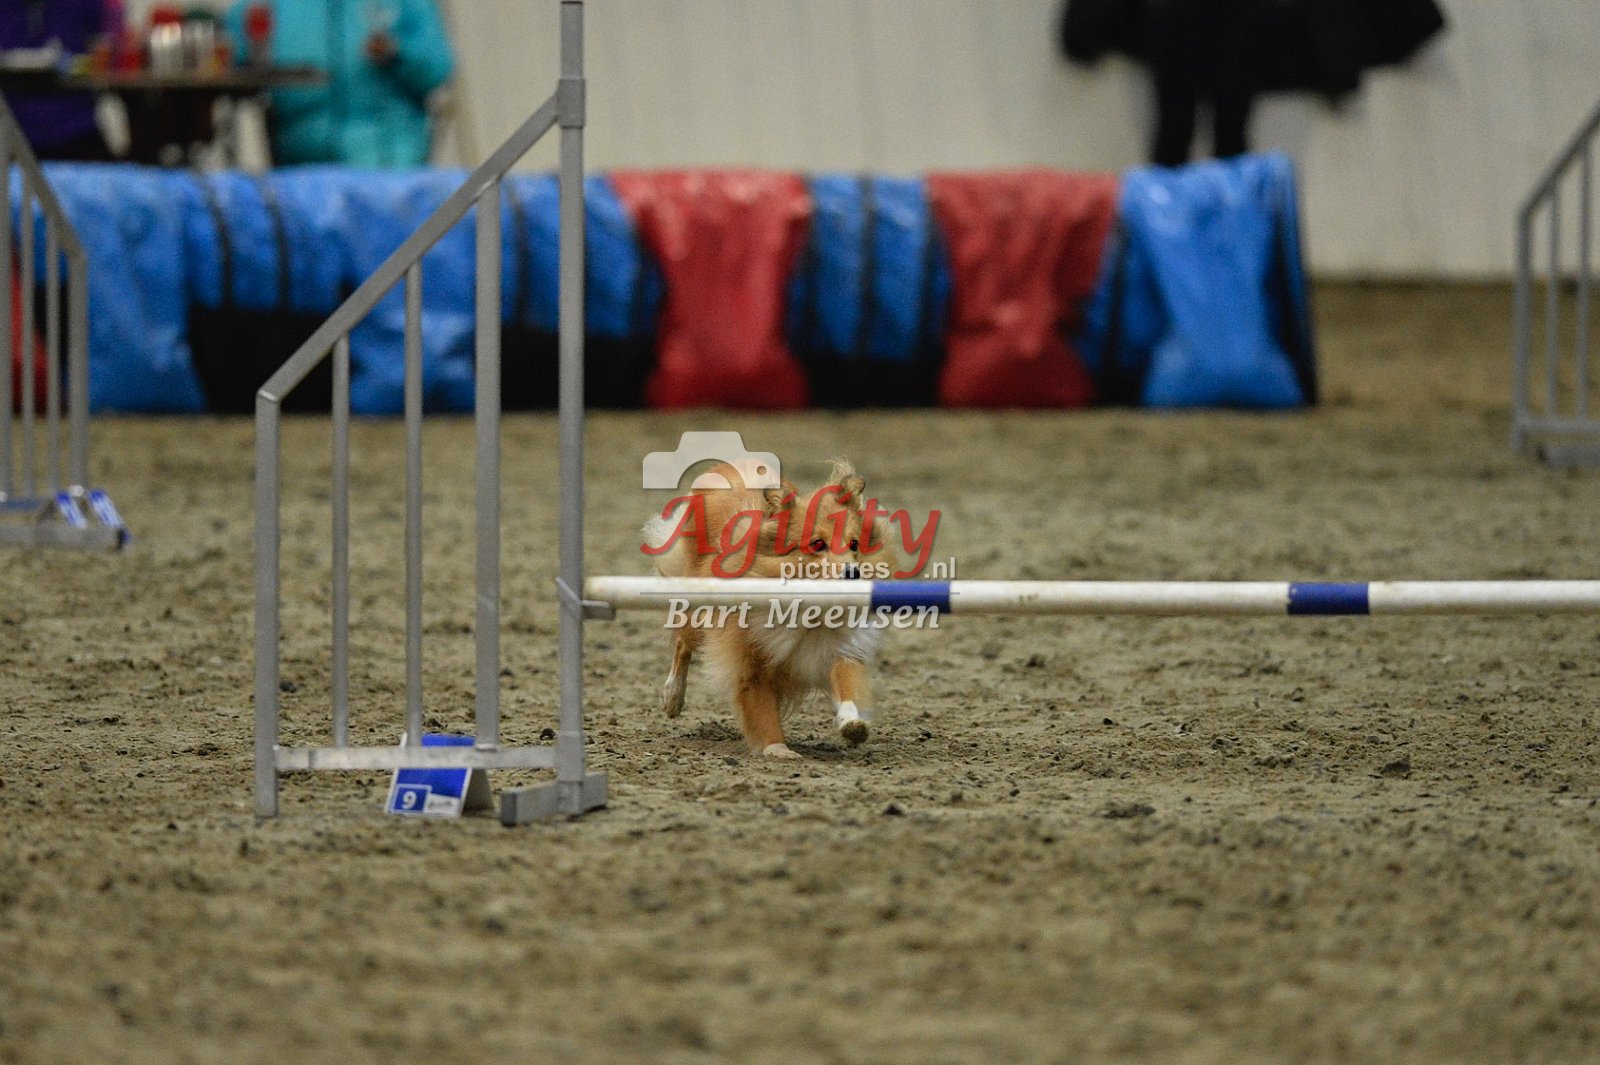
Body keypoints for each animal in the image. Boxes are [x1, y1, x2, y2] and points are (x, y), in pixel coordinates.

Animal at [643, 460, 895, 759]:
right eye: (817, 544)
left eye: (854, 544)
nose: (853, 573)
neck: (808, 612)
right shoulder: (747, 657)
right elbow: (761, 710)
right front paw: (778, 749)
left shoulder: (839, 647)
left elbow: (847, 682)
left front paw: (852, 723)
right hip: (696, 612)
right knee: (682, 644)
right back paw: (672, 697)